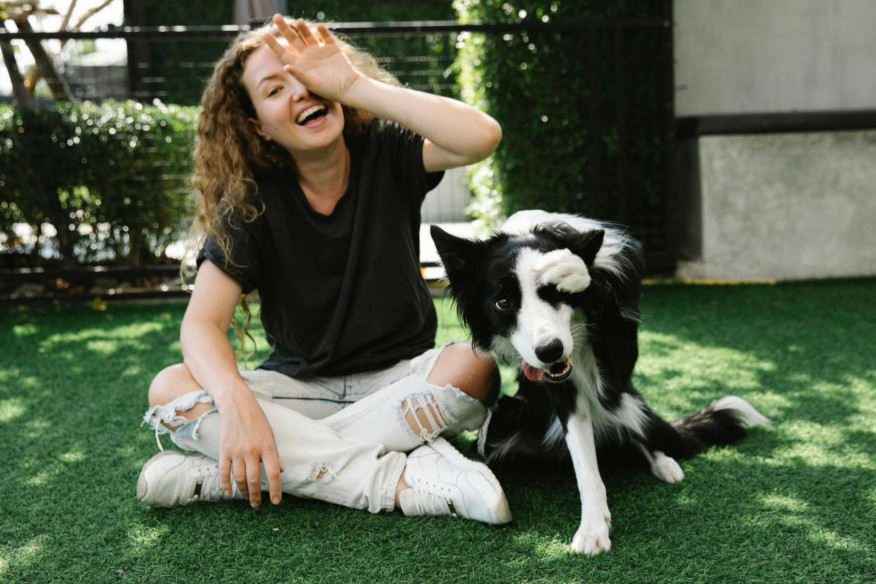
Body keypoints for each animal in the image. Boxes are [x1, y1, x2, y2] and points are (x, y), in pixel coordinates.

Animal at [432, 211, 768, 556]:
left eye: (557, 295)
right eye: (502, 303)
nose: (549, 351)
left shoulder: (618, 362)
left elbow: (597, 290)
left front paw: (573, 268)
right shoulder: (562, 392)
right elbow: (585, 463)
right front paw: (594, 528)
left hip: (628, 401)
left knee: (641, 429)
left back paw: (664, 462)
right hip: (507, 416)